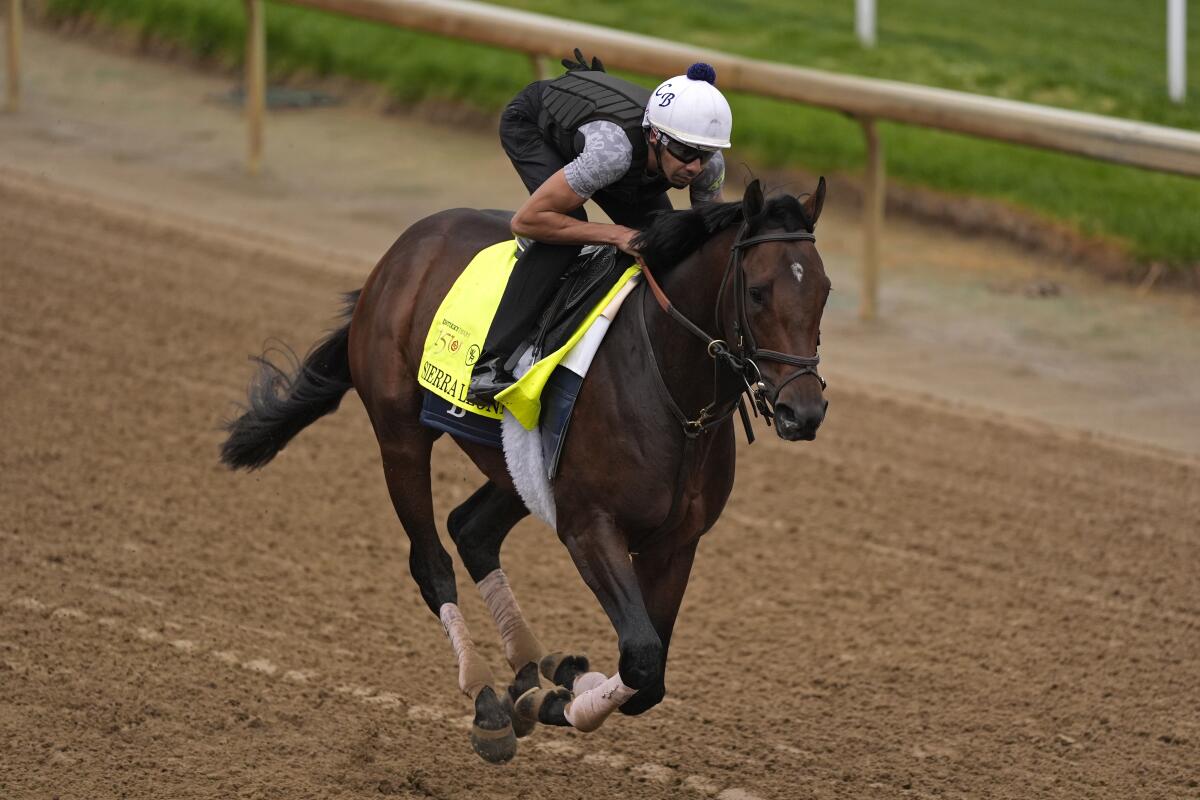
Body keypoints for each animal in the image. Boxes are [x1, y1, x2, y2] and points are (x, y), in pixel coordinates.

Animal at [220, 178, 830, 767]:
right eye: (758, 291)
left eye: (822, 291)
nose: (803, 412)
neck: (674, 397)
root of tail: (402, 250)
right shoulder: (589, 527)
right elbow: (641, 656)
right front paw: (555, 699)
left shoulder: (676, 543)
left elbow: (649, 676)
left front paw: (561, 683)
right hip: (401, 437)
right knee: (431, 563)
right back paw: (487, 698)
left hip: (523, 468)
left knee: (471, 530)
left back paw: (535, 670)